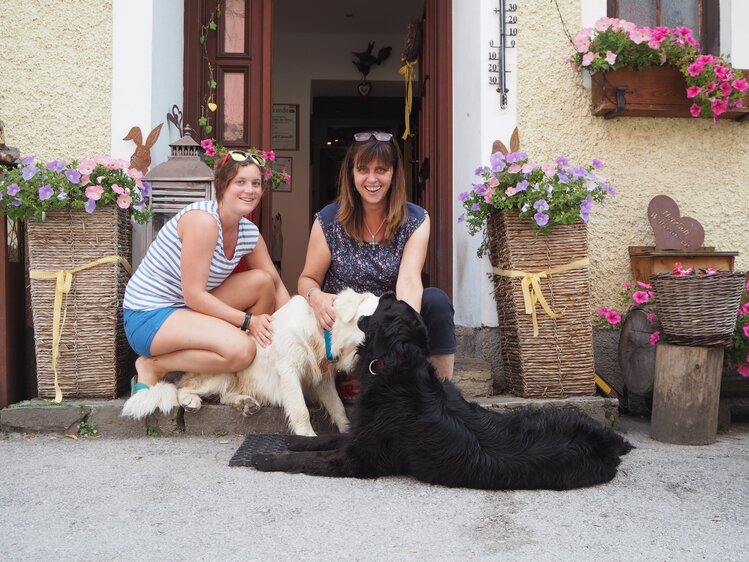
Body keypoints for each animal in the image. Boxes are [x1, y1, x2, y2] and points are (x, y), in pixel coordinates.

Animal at [253, 290, 632, 488]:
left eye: (388, 306)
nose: (388, 292)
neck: (397, 370)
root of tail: (609, 442)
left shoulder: (360, 458)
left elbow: (310, 460)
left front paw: (267, 458)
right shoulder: (359, 434)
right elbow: (326, 438)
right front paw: (296, 440)